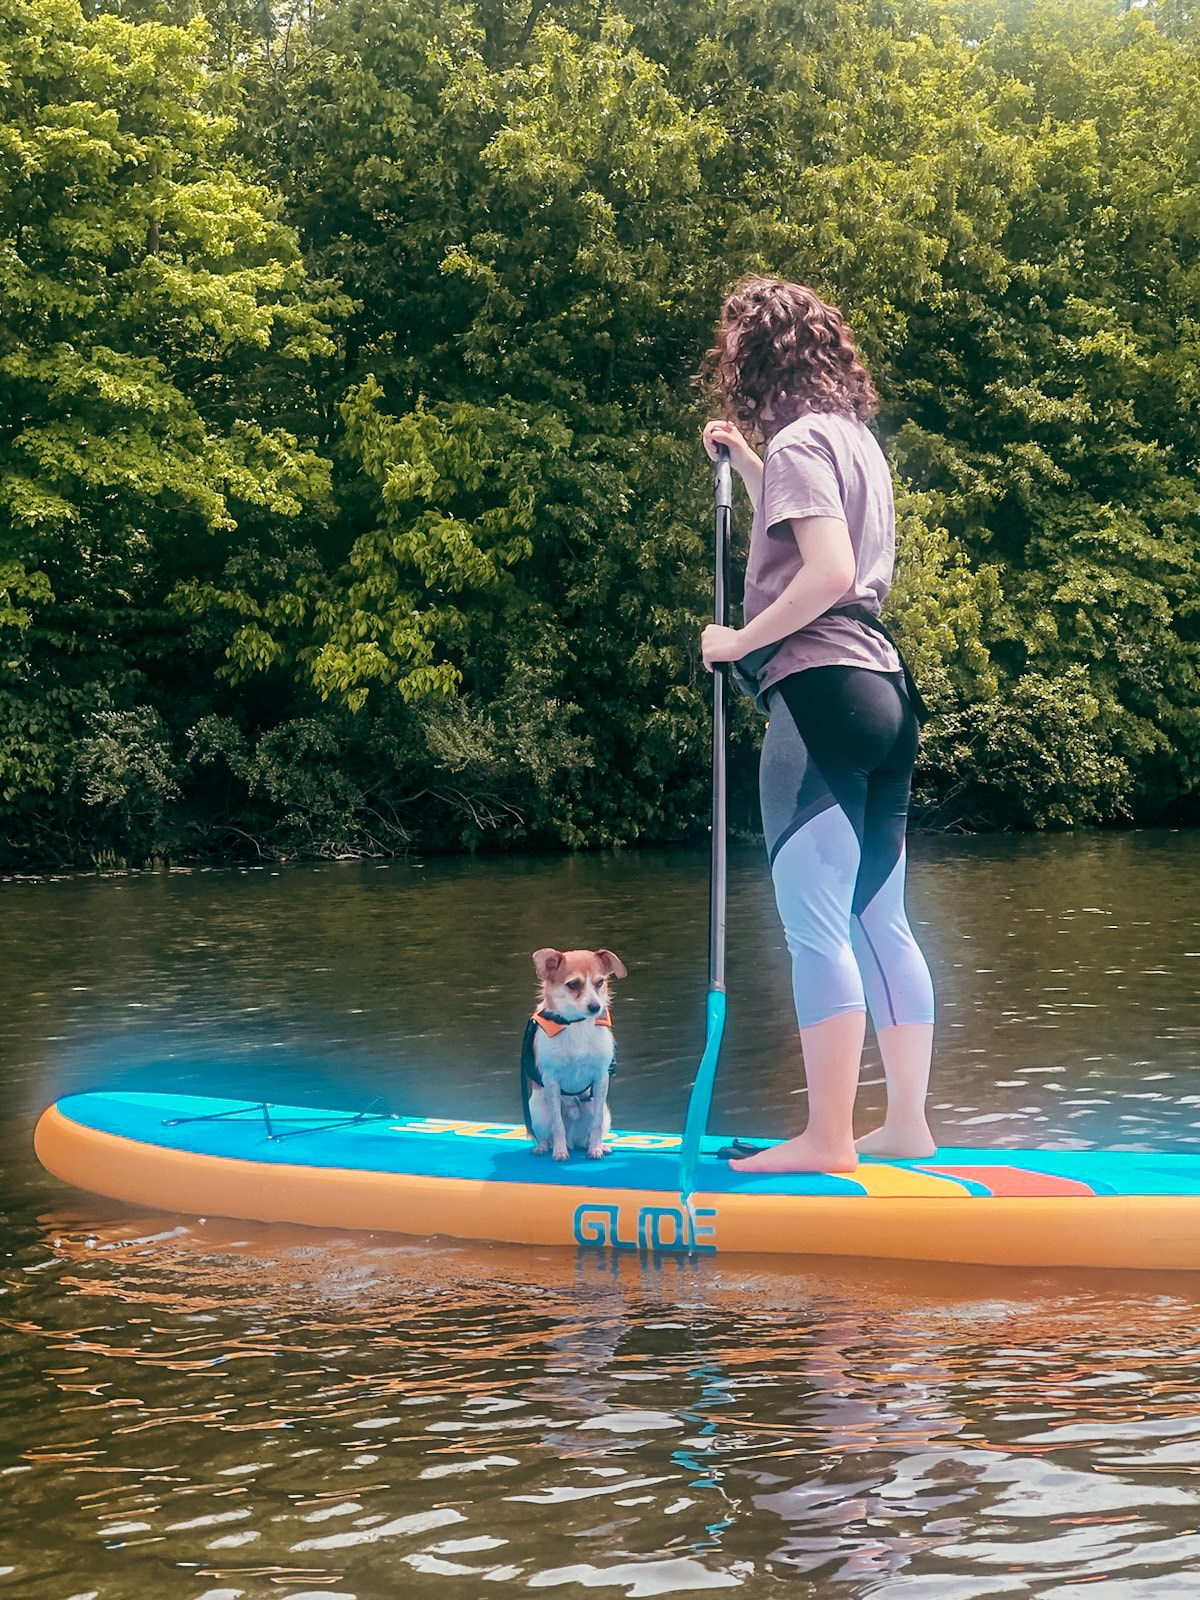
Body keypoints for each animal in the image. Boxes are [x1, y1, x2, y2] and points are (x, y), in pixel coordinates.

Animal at [521, 947, 630, 1164]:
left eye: (600, 982)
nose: (595, 1007)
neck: (577, 1024)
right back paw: (544, 1147)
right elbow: (558, 1125)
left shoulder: (601, 1077)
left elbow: (596, 1123)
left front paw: (595, 1149)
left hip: (603, 1111)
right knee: (545, 1135)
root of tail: (573, 1139)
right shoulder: (551, 1080)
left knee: (589, 1134)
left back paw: (599, 1146)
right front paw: (560, 1152)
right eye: (573, 984)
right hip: (537, 1112)